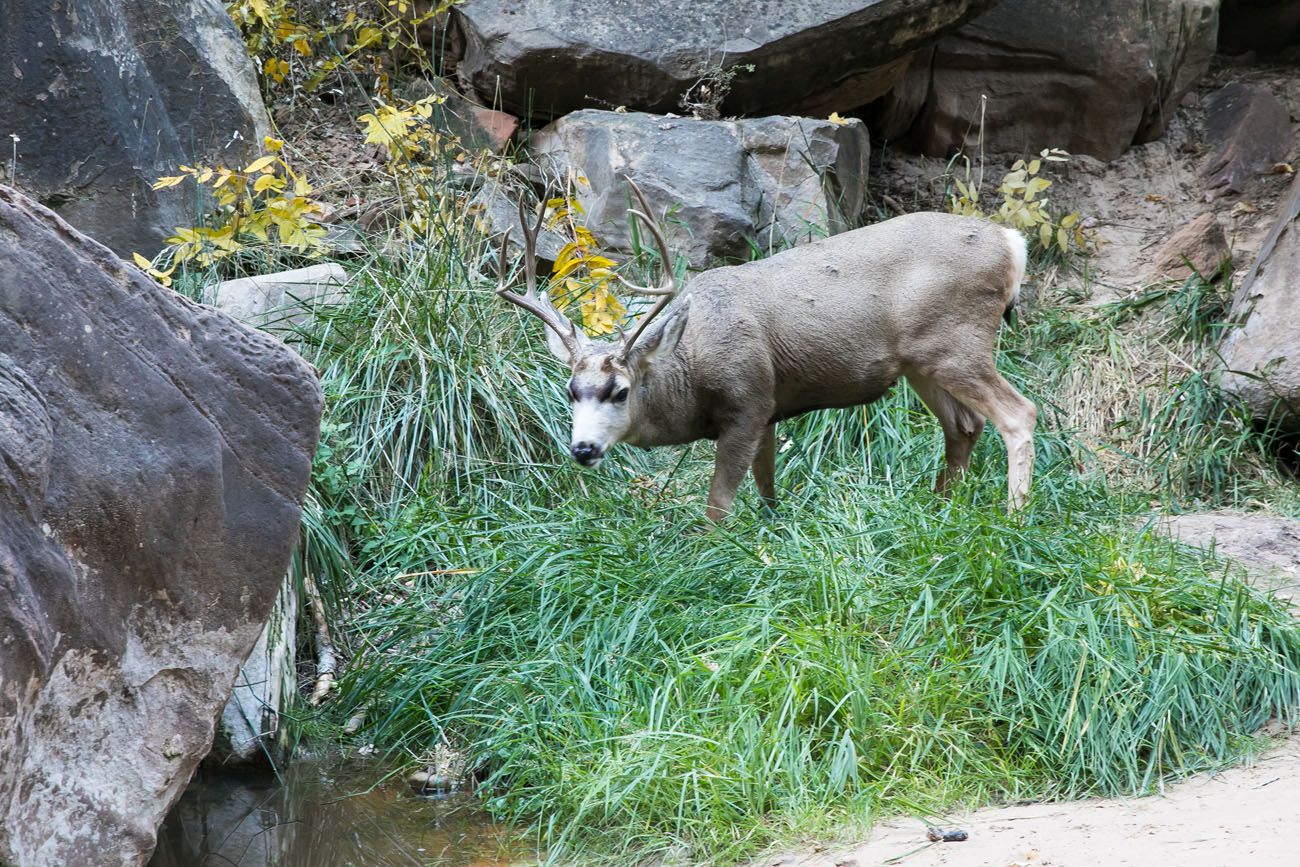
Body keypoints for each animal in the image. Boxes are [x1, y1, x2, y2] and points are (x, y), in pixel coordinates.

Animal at [493, 181, 1034, 522]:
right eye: (570, 390)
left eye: (620, 391)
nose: (583, 448)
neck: (691, 366)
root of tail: (1012, 242)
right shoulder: (769, 407)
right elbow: (767, 485)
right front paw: (771, 533)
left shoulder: (747, 400)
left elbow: (718, 504)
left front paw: (709, 551)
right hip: (922, 357)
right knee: (964, 425)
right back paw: (940, 509)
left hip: (957, 340)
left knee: (1019, 414)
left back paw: (1013, 518)